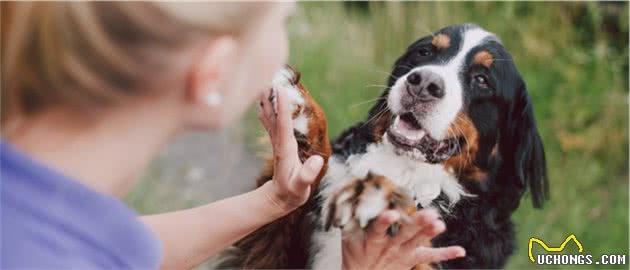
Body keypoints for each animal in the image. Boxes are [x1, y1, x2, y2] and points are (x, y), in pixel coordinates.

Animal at [220, 23, 552, 270]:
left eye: (482, 79)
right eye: (425, 52)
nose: (423, 83)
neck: (402, 167)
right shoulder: (270, 251)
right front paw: (302, 109)